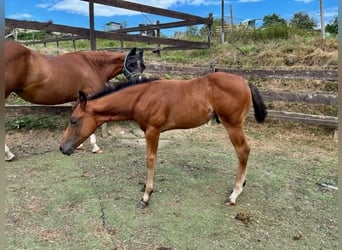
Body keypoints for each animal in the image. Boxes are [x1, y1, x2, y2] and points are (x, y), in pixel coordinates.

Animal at [5, 39, 144, 160]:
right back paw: (9, 154)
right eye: (131, 64)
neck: (93, 65)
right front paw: (95, 147)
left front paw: (80, 145)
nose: (139, 82)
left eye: (142, 66)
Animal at [59, 72, 268, 207]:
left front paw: (146, 196)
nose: (62, 148)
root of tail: (245, 82)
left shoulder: (153, 130)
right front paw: (146, 187)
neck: (142, 97)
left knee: (243, 150)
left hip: (232, 124)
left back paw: (235, 194)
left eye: (74, 120)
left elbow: (150, 159)